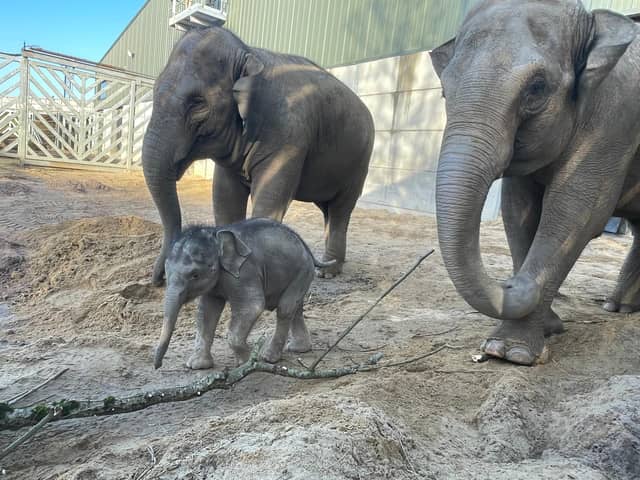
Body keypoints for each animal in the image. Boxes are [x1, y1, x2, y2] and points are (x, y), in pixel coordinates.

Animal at [142, 26, 374, 286]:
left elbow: (271, 194)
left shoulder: (287, 136)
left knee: (341, 209)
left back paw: (328, 271)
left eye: (198, 103)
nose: (159, 280)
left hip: (360, 162)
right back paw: (330, 264)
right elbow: (225, 196)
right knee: (328, 210)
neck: (248, 54)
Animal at [153, 218, 334, 369]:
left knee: (285, 309)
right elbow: (206, 312)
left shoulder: (245, 273)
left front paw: (248, 362)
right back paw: (298, 349)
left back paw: (268, 357)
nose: (157, 366)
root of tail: (305, 246)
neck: (216, 235)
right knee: (295, 308)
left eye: (195, 275)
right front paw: (197, 366)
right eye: (166, 271)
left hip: (303, 271)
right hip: (300, 273)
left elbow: (252, 306)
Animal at [430, 0, 640, 365]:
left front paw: (509, 352)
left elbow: (577, 211)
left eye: (537, 88)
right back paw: (619, 307)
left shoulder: (615, 120)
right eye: (444, 90)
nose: (512, 283)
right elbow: (519, 210)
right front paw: (549, 328)